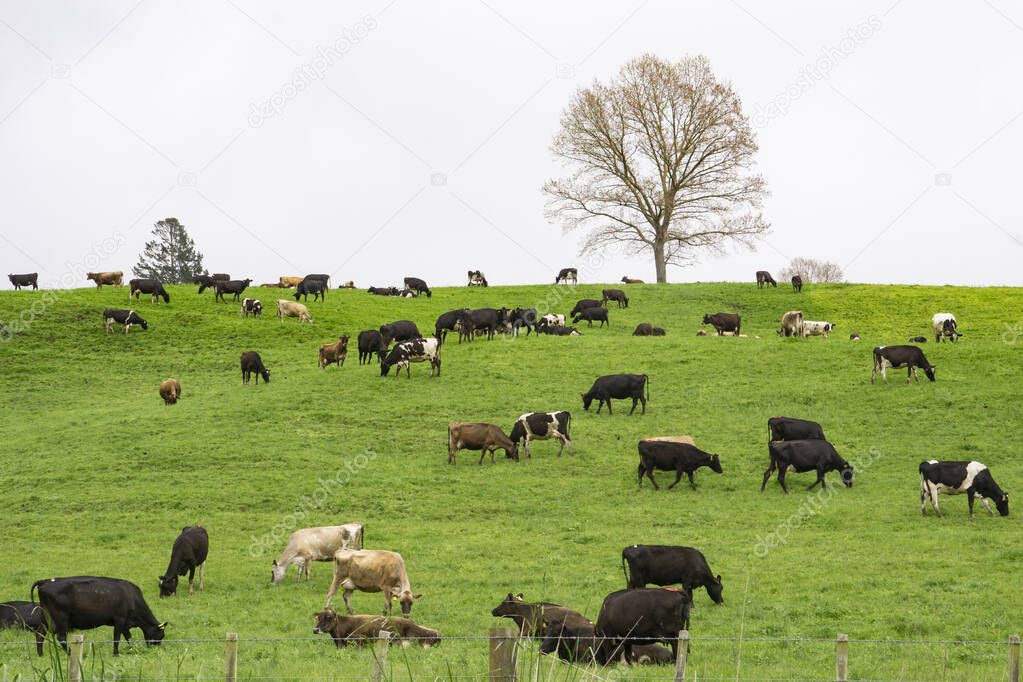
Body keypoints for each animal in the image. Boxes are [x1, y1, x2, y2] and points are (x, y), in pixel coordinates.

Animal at [32, 576, 165, 654]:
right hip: (61, 618)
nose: (155, 650)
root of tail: (45, 581)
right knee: (61, 637)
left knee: (40, 634)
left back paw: (40, 654)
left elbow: (128, 637)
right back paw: (70, 653)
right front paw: (116, 653)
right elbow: (117, 637)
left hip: (46, 617)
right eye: (161, 635)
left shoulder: (125, 623)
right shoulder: (120, 619)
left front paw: (133, 649)